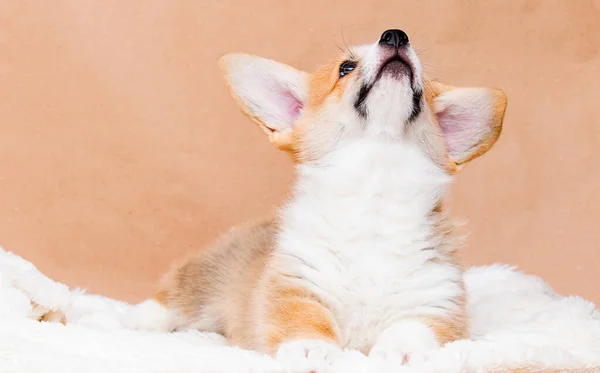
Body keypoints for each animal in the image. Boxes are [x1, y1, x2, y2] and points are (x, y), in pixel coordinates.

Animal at [130, 28, 506, 364]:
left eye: (424, 87)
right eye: (346, 67)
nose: (396, 35)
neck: (374, 197)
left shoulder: (436, 299)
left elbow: (414, 327)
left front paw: (402, 353)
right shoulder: (296, 284)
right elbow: (304, 317)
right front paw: (311, 348)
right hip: (204, 281)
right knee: (174, 297)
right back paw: (141, 319)